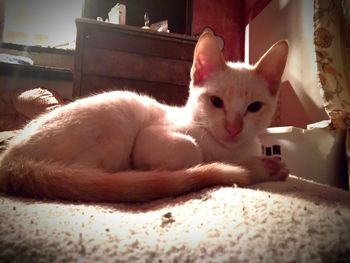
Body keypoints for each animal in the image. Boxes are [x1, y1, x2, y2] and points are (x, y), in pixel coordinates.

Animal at [0, 32, 290, 203]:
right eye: (216, 102)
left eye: (254, 107)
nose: (233, 127)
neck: (230, 150)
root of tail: (12, 162)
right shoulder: (150, 138)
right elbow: (193, 150)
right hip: (115, 125)